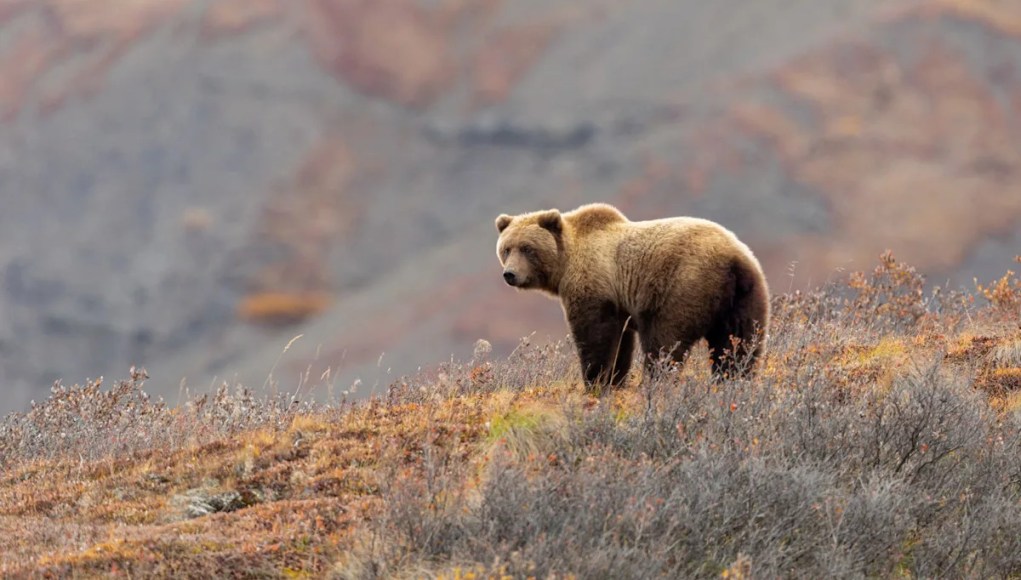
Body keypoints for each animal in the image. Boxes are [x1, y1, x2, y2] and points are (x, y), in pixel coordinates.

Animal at [495, 202, 769, 389]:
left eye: (527, 248)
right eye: (506, 249)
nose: (510, 274)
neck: (566, 262)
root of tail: (733, 259)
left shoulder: (595, 287)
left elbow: (595, 336)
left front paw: (595, 381)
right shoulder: (619, 304)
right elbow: (621, 344)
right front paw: (614, 380)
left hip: (682, 287)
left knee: (664, 343)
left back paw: (656, 383)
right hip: (745, 297)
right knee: (740, 344)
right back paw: (733, 381)